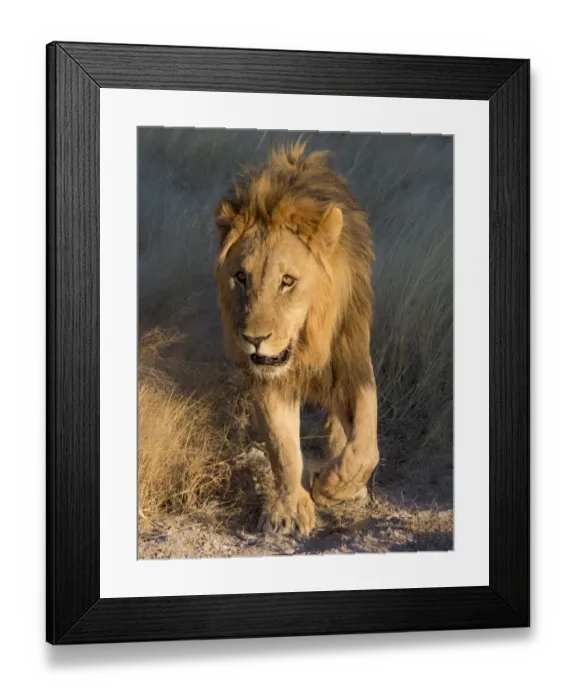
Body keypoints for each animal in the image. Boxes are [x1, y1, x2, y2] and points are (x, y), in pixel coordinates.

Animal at [214, 142, 380, 536]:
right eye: (240, 277)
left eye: (287, 281)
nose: (254, 338)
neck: (307, 345)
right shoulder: (268, 377)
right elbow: (282, 445)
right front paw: (288, 511)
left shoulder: (350, 361)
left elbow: (366, 441)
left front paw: (334, 486)